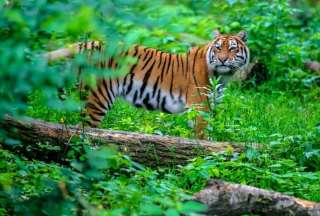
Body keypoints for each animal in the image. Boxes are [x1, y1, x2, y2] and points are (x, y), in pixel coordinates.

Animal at [45, 30, 250, 138]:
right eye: (218, 48)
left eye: (233, 49)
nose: (222, 59)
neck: (222, 76)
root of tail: (89, 43)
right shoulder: (200, 106)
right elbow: (202, 134)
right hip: (98, 98)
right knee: (84, 130)